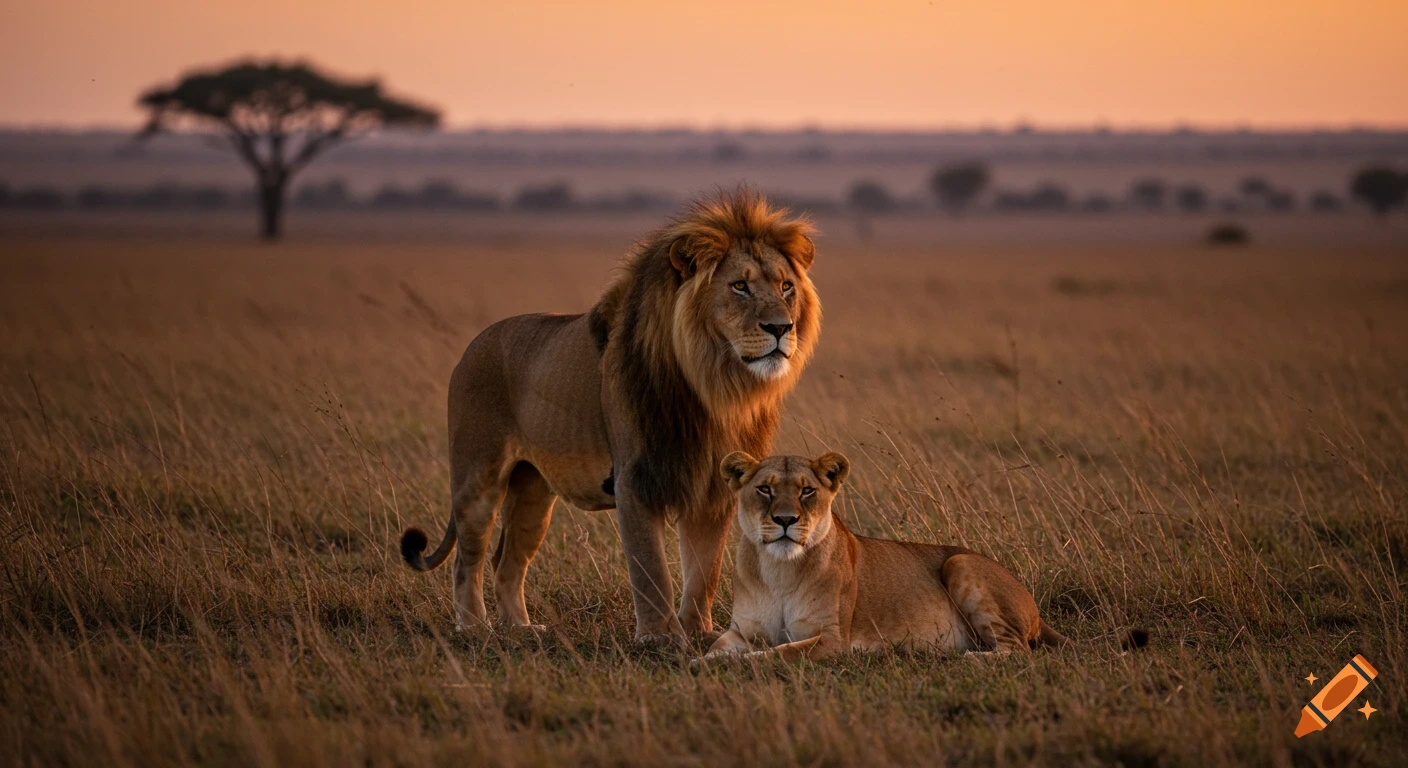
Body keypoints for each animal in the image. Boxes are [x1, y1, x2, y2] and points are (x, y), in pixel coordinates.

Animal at [399, 189, 822, 646]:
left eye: (786, 287)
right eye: (740, 286)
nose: (782, 327)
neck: (715, 386)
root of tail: (472, 346)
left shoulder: (710, 485)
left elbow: (703, 571)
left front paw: (699, 633)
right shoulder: (635, 479)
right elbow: (650, 569)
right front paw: (659, 638)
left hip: (533, 493)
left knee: (506, 563)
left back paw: (523, 629)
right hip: (478, 478)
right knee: (468, 560)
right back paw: (475, 628)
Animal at [696, 452, 1148, 663]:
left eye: (807, 491)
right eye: (765, 489)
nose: (786, 520)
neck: (780, 570)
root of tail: (1034, 607)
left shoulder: (831, 639)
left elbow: (779, 652)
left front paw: (741, 665)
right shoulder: (741, 630)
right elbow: (717, 648)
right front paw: (705, 663)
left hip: (960, 564)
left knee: (1018, 650)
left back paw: (967, 659)